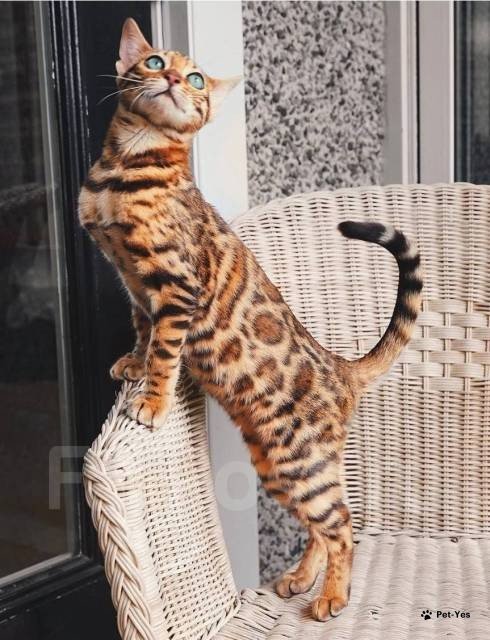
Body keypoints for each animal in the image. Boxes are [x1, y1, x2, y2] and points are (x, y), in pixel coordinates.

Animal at [79, 18, 423, 621]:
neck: (126, 168)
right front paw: (133, 364)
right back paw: (302, 578)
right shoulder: (135, 284)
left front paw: (153, 401)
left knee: (343, 527)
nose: (173, 79)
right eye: (153, 62)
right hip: (280, 463)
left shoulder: (175, 286)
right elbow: (144, 332)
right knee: (323, 525)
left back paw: (332, 596)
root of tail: (341, 368)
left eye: (195, 78)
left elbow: (165, 350)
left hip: (297, 459)